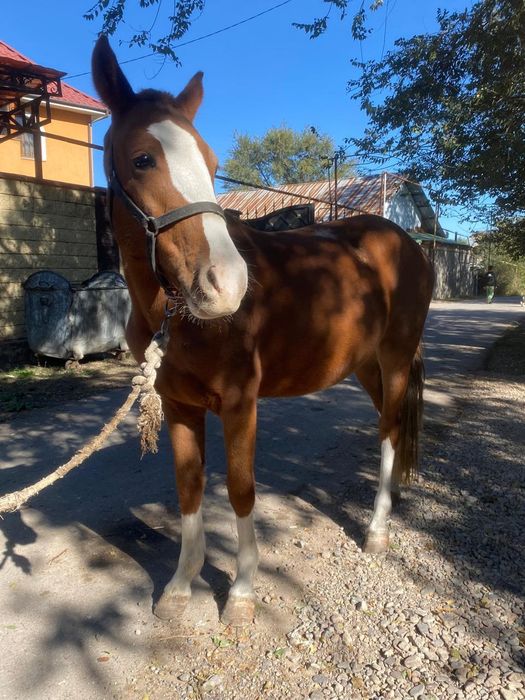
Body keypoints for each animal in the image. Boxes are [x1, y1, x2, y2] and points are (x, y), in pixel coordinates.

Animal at [92, 36, 435, 627]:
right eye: (142, 159)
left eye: (211, 163)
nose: (225, 284)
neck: (175, 315)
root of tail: (406, 242)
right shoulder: (178, 404)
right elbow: (189, 487)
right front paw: (180, 587)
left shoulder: (239, 401)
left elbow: (241, 490)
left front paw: (243, 593)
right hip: (366, 364)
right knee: (385, 428)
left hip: (394, 358)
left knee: (390, 432)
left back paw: (376, 531)